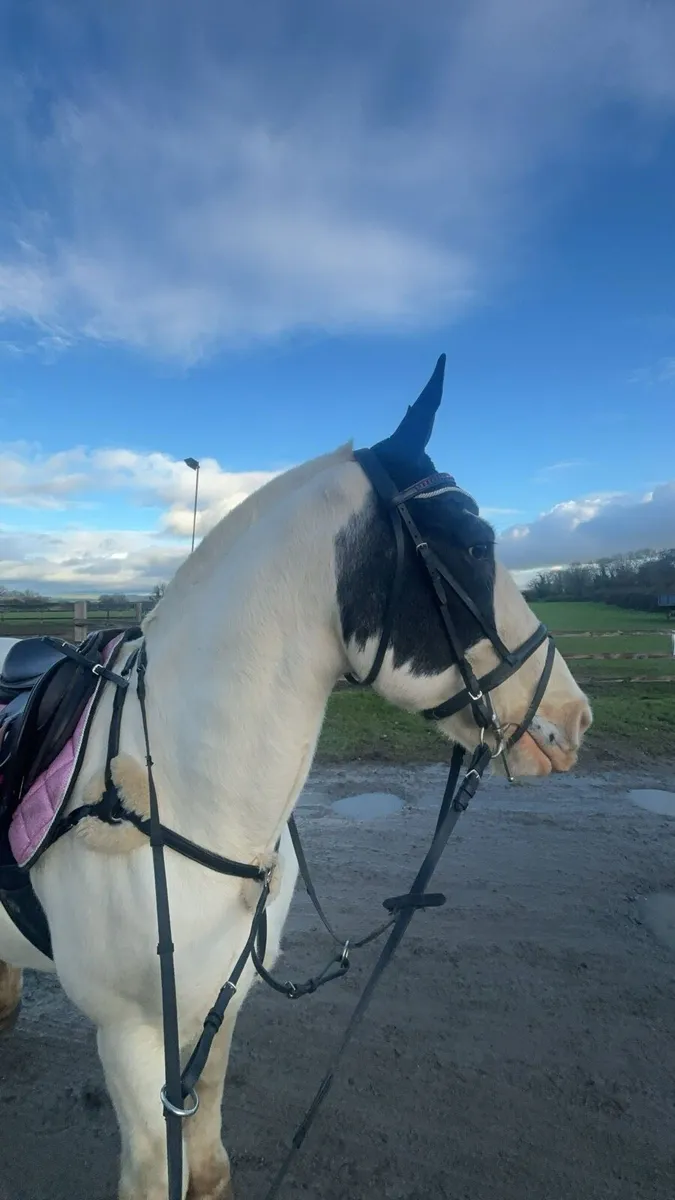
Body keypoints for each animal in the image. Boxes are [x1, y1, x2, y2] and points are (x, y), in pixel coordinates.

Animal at [0, 355, 592, 1200]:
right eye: (476, 544)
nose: (574, 719)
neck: (185, 789)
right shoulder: (131, 1034)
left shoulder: (215, 1013)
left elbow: (207, 1168)